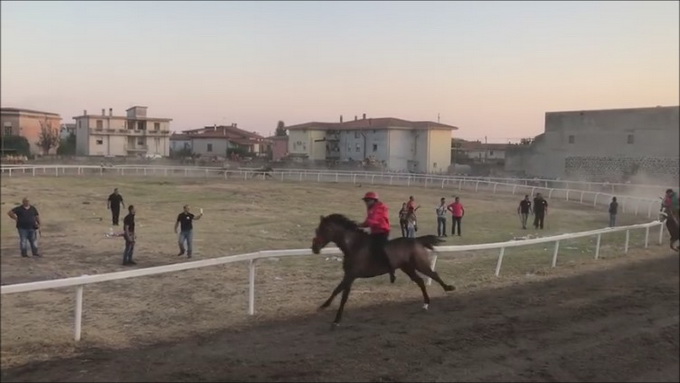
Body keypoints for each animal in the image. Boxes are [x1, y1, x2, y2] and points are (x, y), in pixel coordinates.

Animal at [310, 213, 454, 328]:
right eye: (317, 229)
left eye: (325, 229)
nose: (314, 248)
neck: (354, 246)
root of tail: (416, 240)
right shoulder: (348, 275)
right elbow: (336, 291)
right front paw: (324, 306)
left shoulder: (351, 276)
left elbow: (343, 297)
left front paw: (336, 320)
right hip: (407, 268)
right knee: (420, 281)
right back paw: (425, 303)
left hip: (420, 264)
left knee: (433, 274)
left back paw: (448, 288)